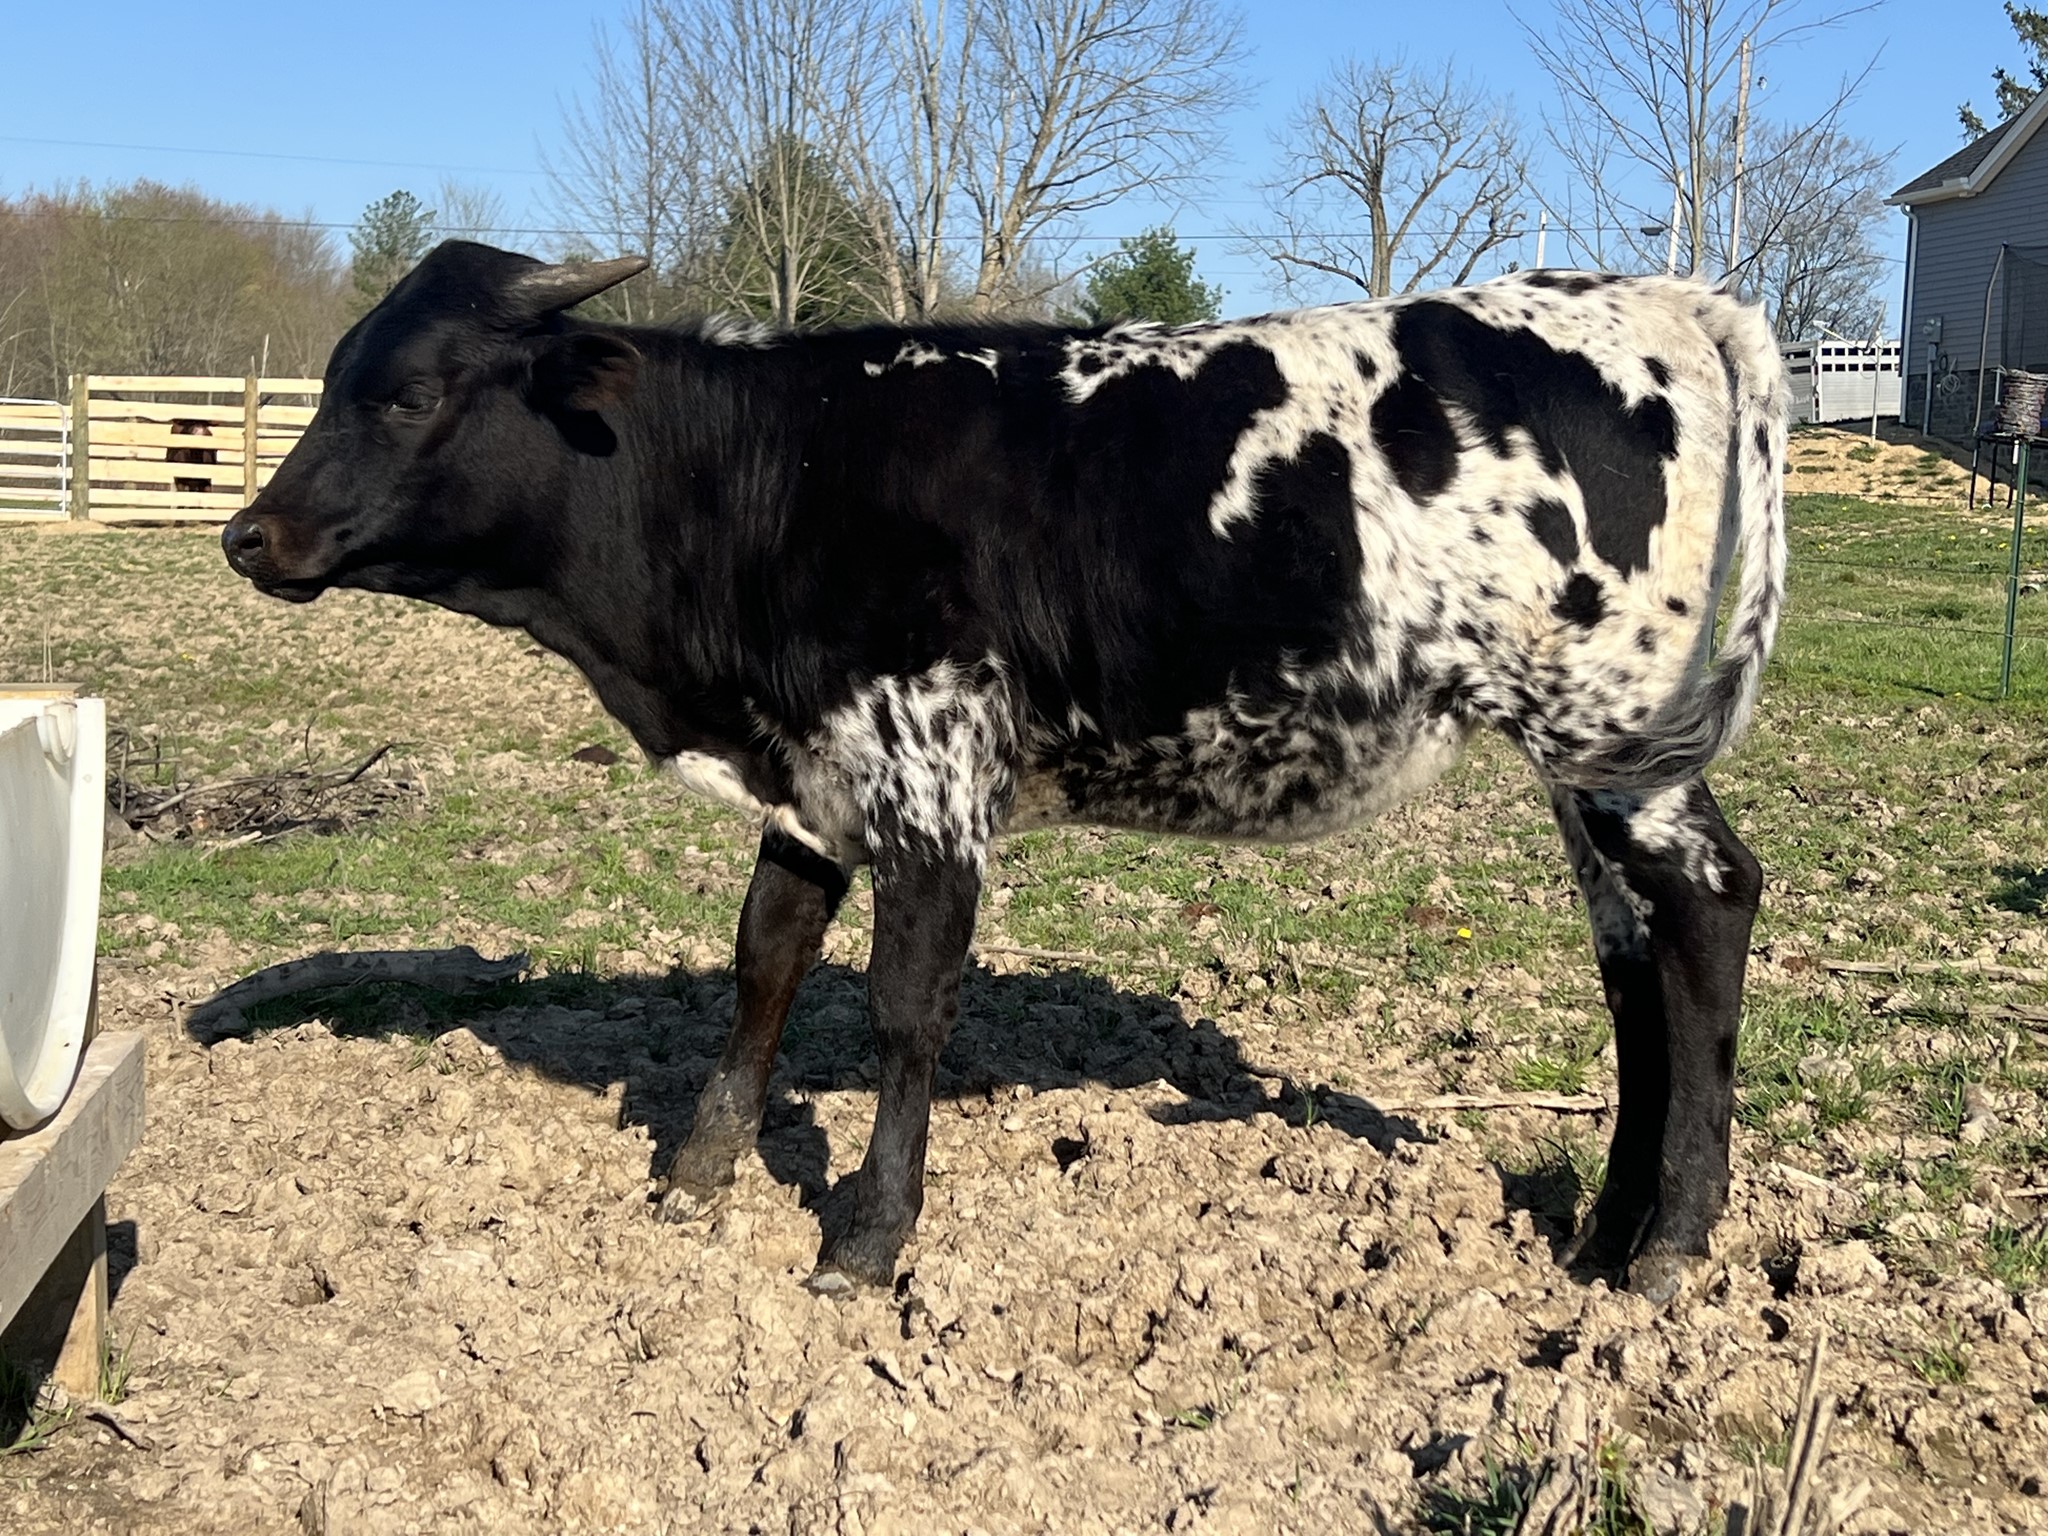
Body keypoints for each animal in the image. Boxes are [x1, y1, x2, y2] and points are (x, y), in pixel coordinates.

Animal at [222, 241, 1787, 1302]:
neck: (774, 474)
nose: (250, 534)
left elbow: (905, 1008)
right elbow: (763, 960)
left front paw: (865, 1234)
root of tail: (1646, 295)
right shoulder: (816, 776)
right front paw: (696, 1172)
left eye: (412, 394)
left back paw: (1673, 1244)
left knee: (1710, 904)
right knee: (1631, 958)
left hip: (1614, 734)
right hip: (1578, 756)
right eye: (334, 379)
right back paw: (1604, 1231)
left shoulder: (930, 783)